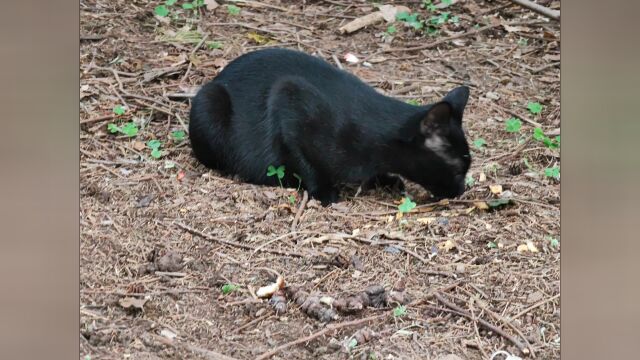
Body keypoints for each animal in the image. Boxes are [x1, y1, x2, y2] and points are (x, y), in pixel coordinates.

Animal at [188, 48, 472, 204]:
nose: (461, 190)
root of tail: (217, 77)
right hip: (209, 101)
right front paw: (324, 192)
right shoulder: (288, 99)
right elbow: (305, 162)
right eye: (458, 170)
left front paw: (384, 179)